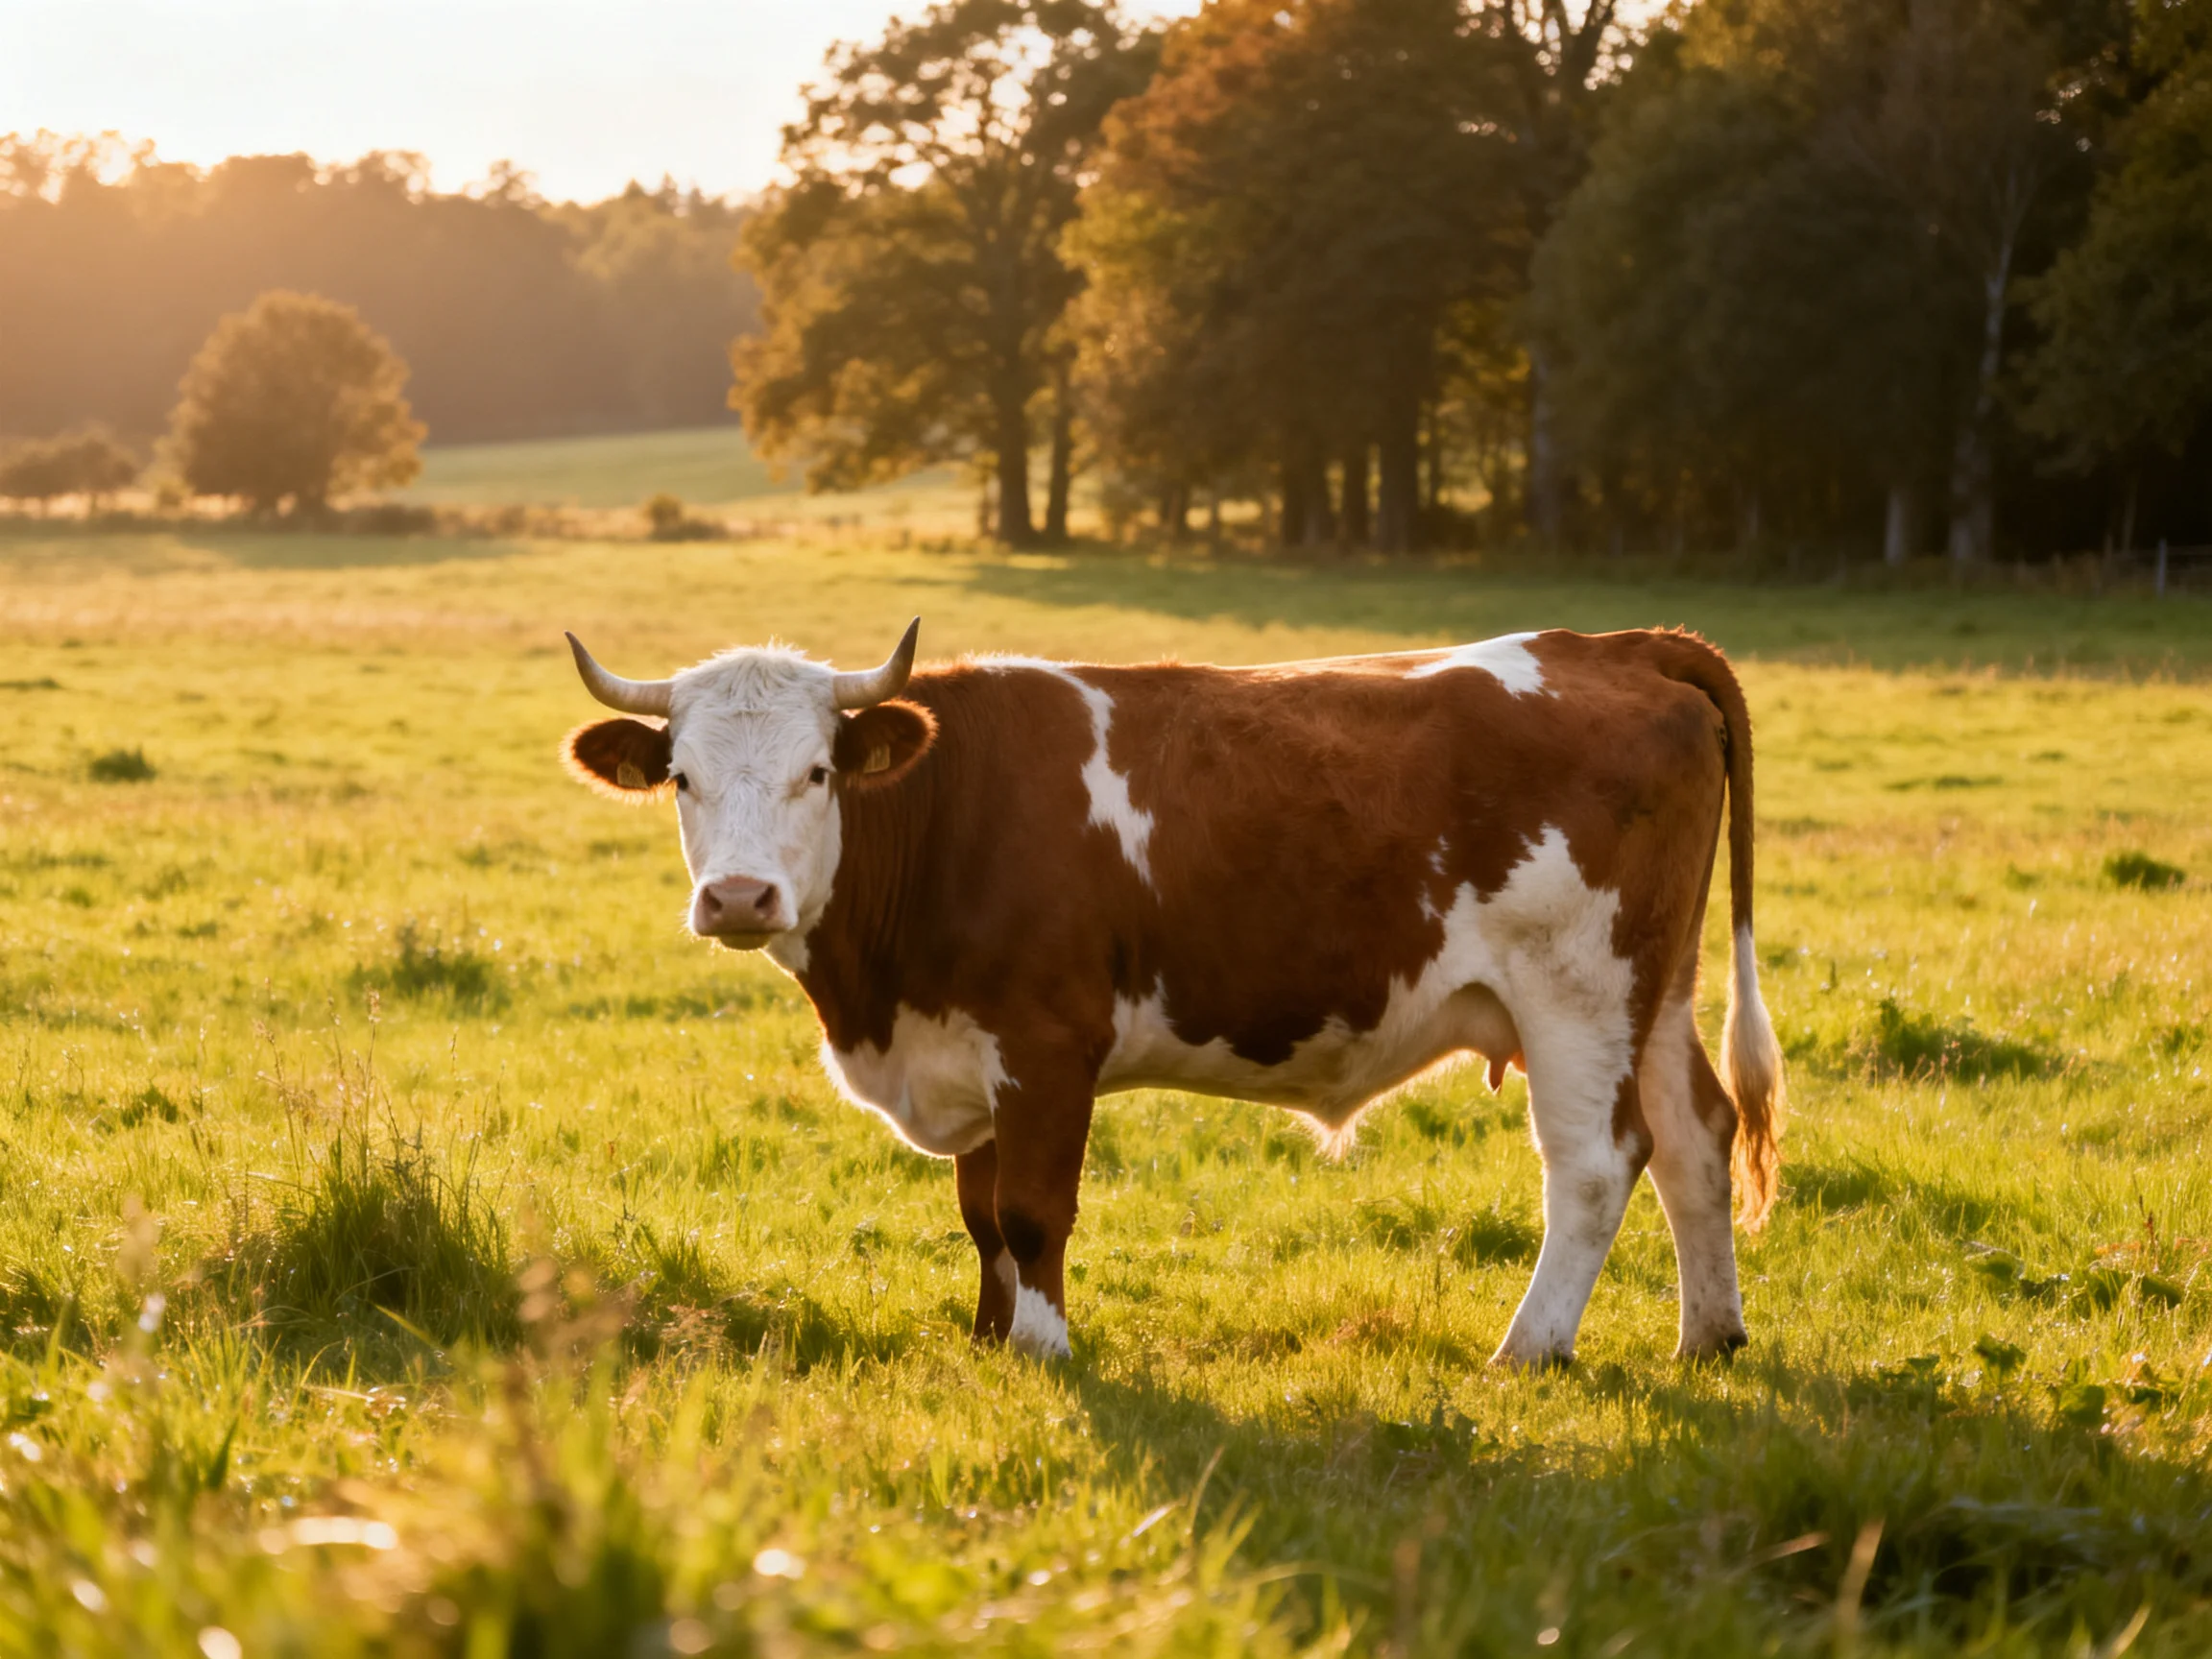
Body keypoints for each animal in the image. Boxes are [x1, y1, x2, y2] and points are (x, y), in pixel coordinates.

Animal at [559, 621, 1785, 1367]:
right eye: (682, 778)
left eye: (816, 773)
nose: (740, 896)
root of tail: (1614, 646)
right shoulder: (964, 1049)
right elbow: (979, 1215)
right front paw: (989, 1342)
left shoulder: (1046, 1043)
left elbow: (1030, 1209)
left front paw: (1044, 1351)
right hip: (1655, 988)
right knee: (1696, 1132)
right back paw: (1710, 1336)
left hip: (1578, 989)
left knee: (1597, 1163)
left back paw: (1528, 1350)